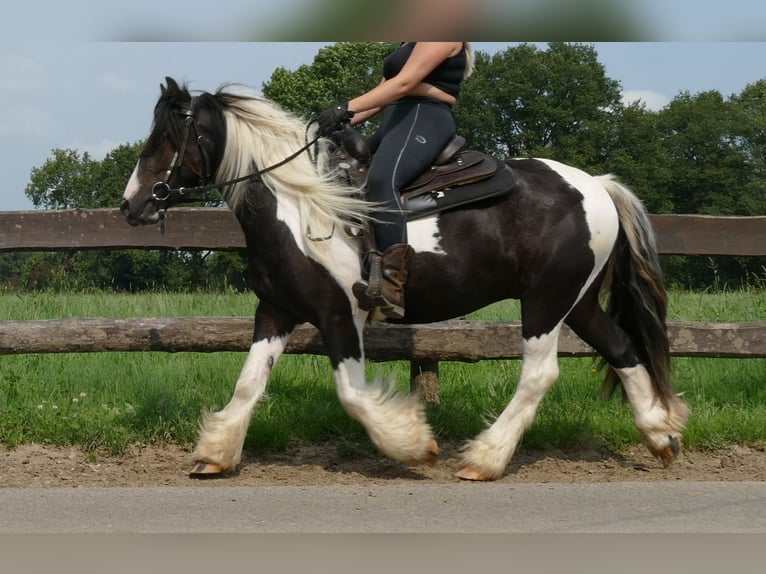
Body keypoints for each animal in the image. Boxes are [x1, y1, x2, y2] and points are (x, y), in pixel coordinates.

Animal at [121, 76, 688, 482]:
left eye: (166, 138)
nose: (132, 205)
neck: (297, 205)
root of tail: (597, 185)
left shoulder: (338, 315)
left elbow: (351, 394)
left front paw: (413, 444)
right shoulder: (276, 312)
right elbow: (248, 384)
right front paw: (214, 454)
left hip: (546, 302)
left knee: (539, 373)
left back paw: (483, 459)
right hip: (579, 301)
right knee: (623, 348)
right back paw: (661, 436)